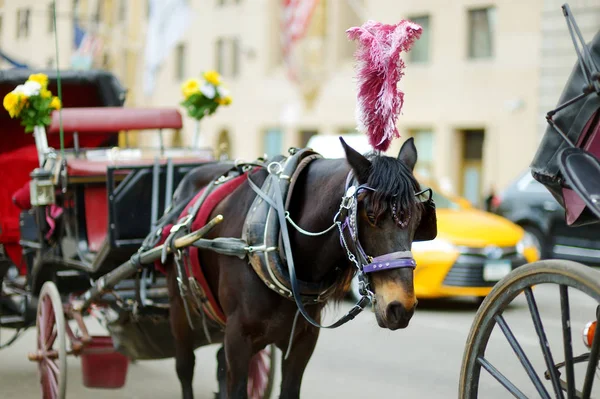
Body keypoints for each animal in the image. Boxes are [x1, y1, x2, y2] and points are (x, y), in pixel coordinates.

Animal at [164, 136, 436, 398]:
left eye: (419, 218)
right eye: (371, 215)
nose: (400, 307)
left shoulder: (302, 341)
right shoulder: (238, 338)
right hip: (180, 313)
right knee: (185, 369)